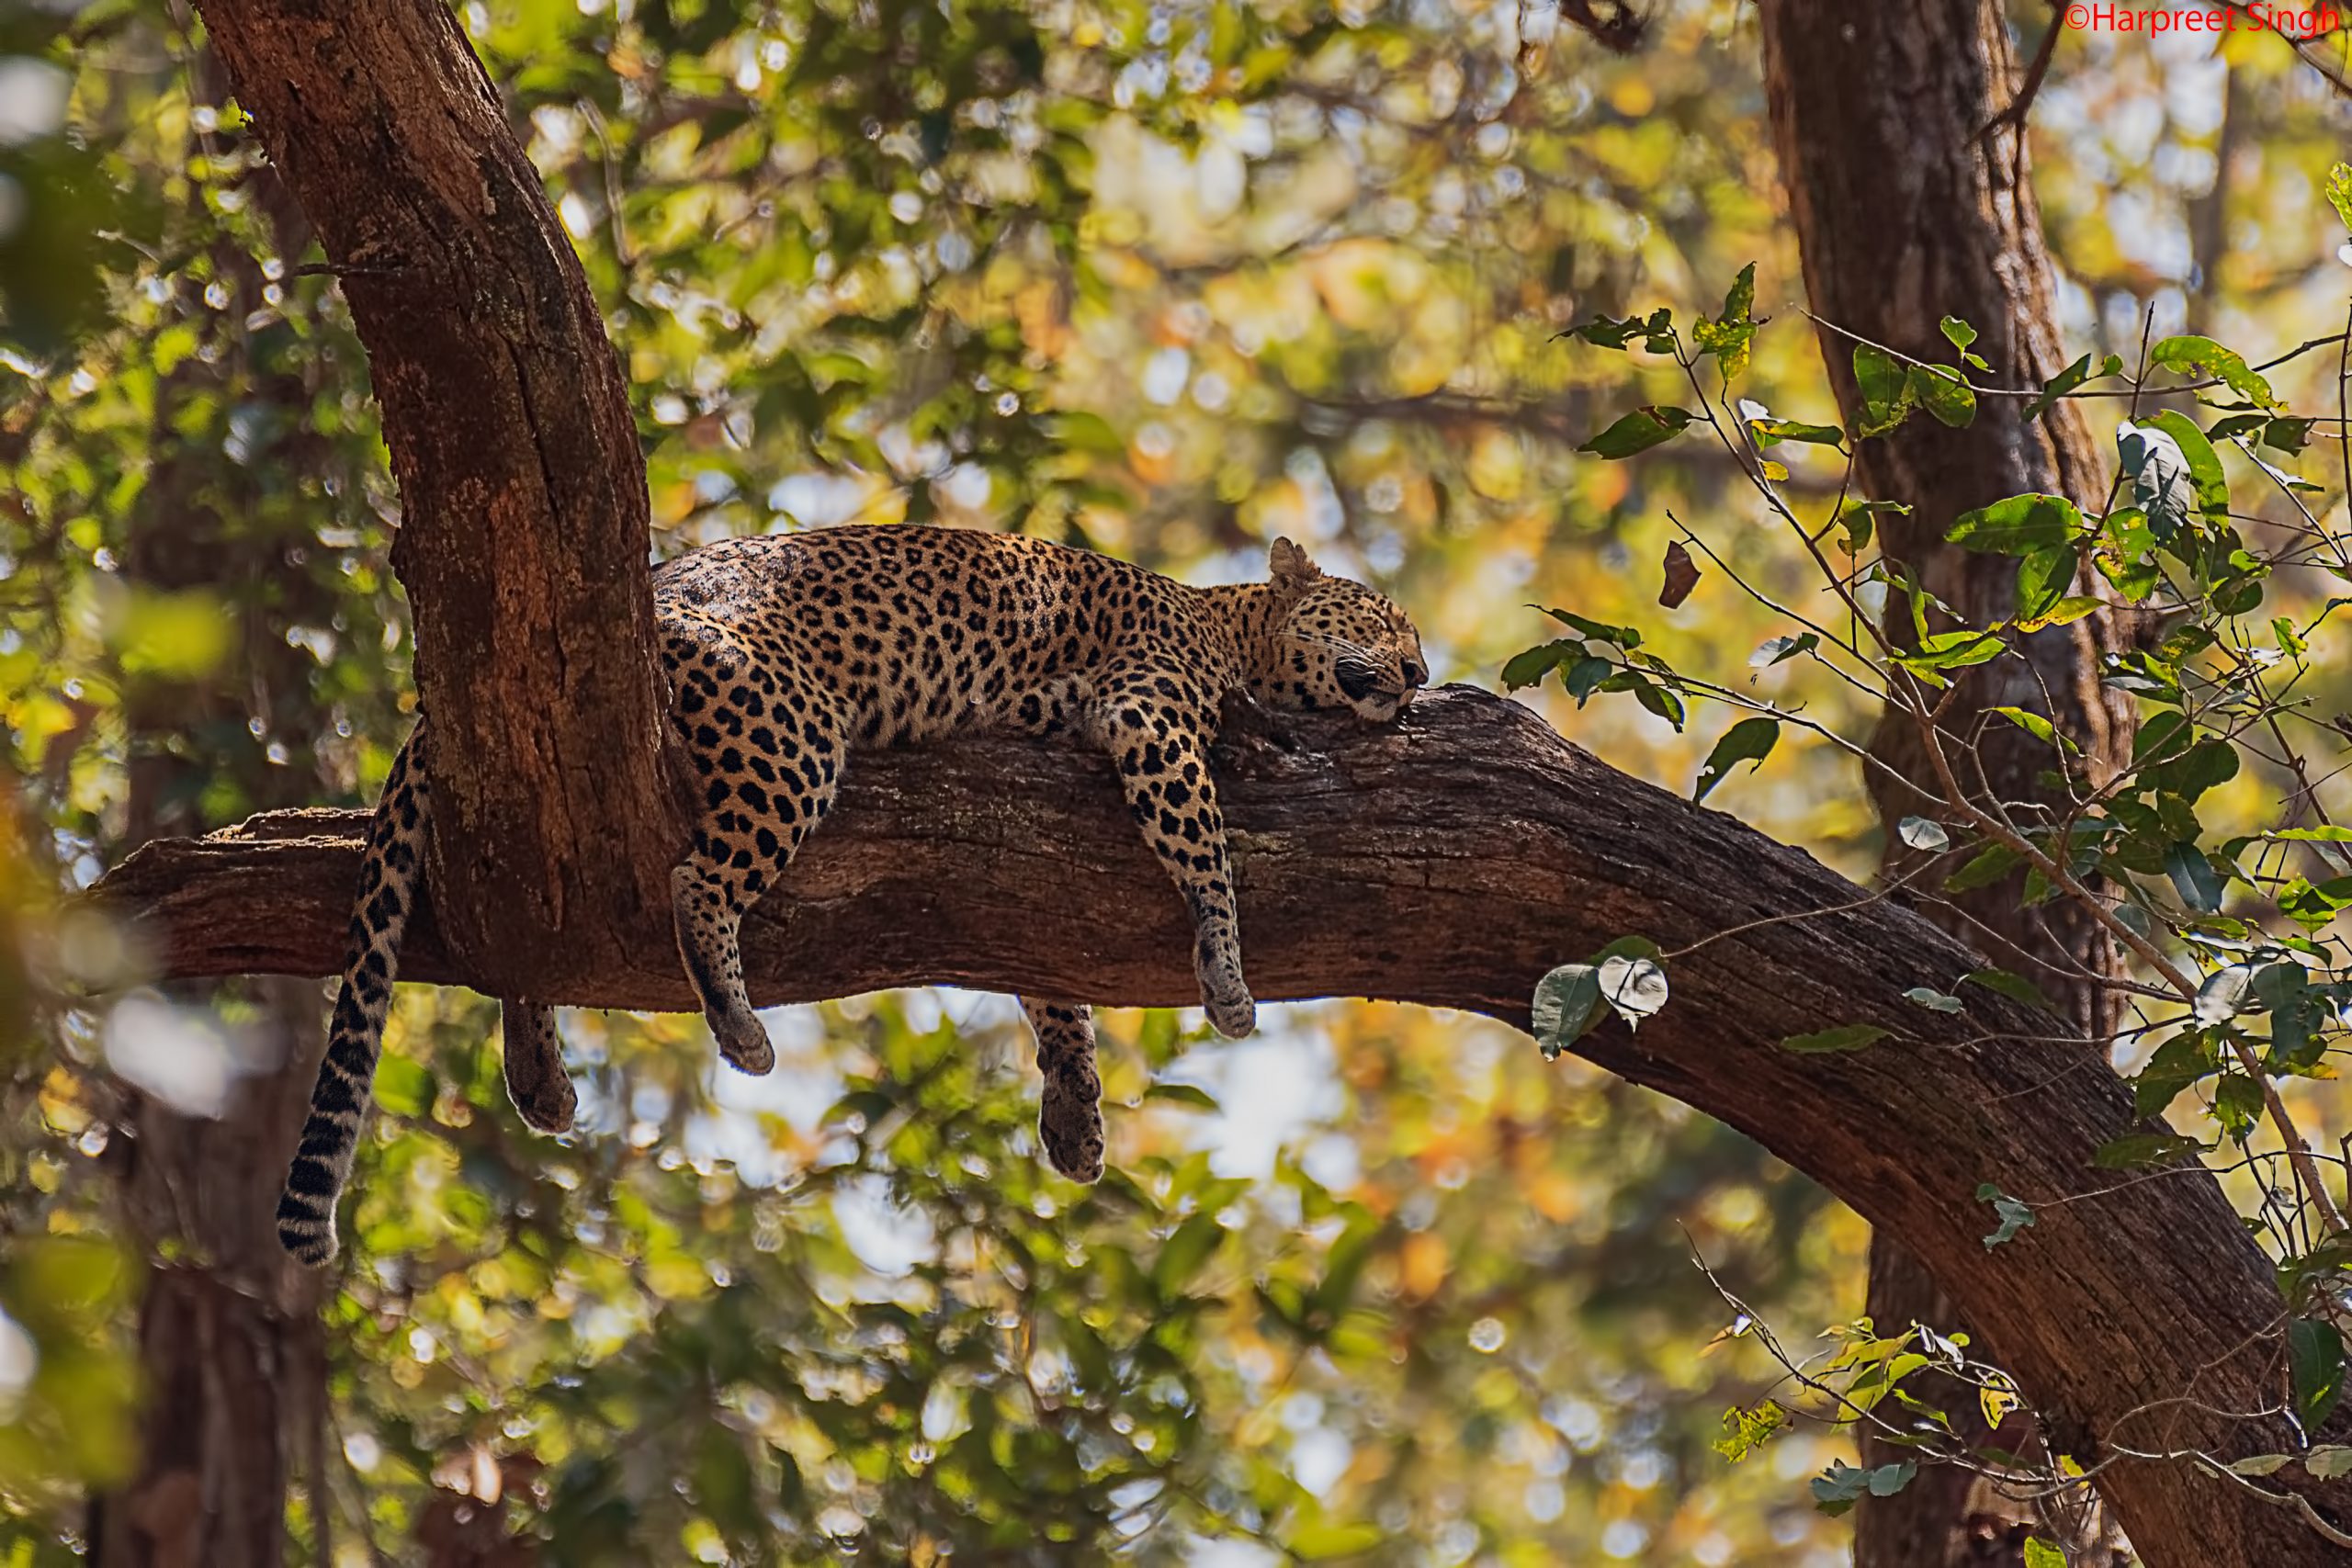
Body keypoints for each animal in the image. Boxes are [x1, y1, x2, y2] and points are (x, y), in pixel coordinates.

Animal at [269, 526, 1420, 1259]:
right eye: (1384, 617)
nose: (1417, 675)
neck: (1229, 623)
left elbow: (1052, 989)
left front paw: (1073, 1115)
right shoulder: (1151, 711)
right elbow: (1208, 851)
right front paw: (1226, 974)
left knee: (534, 915)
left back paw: (540, 1076)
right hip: (791, 732)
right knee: (693, 880)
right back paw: (737, 1026)